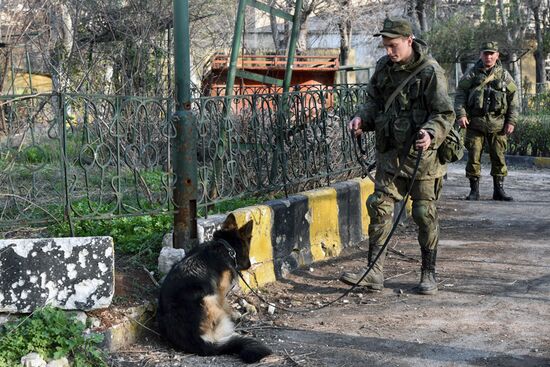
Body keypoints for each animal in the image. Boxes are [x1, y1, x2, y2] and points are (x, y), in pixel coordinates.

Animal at [156, 214, 272, 364]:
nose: (249, 265)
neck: (226, 247)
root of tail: (197, 341)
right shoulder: (220, 292)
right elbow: (226, 304)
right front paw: (235, 314)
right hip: (208, 298)